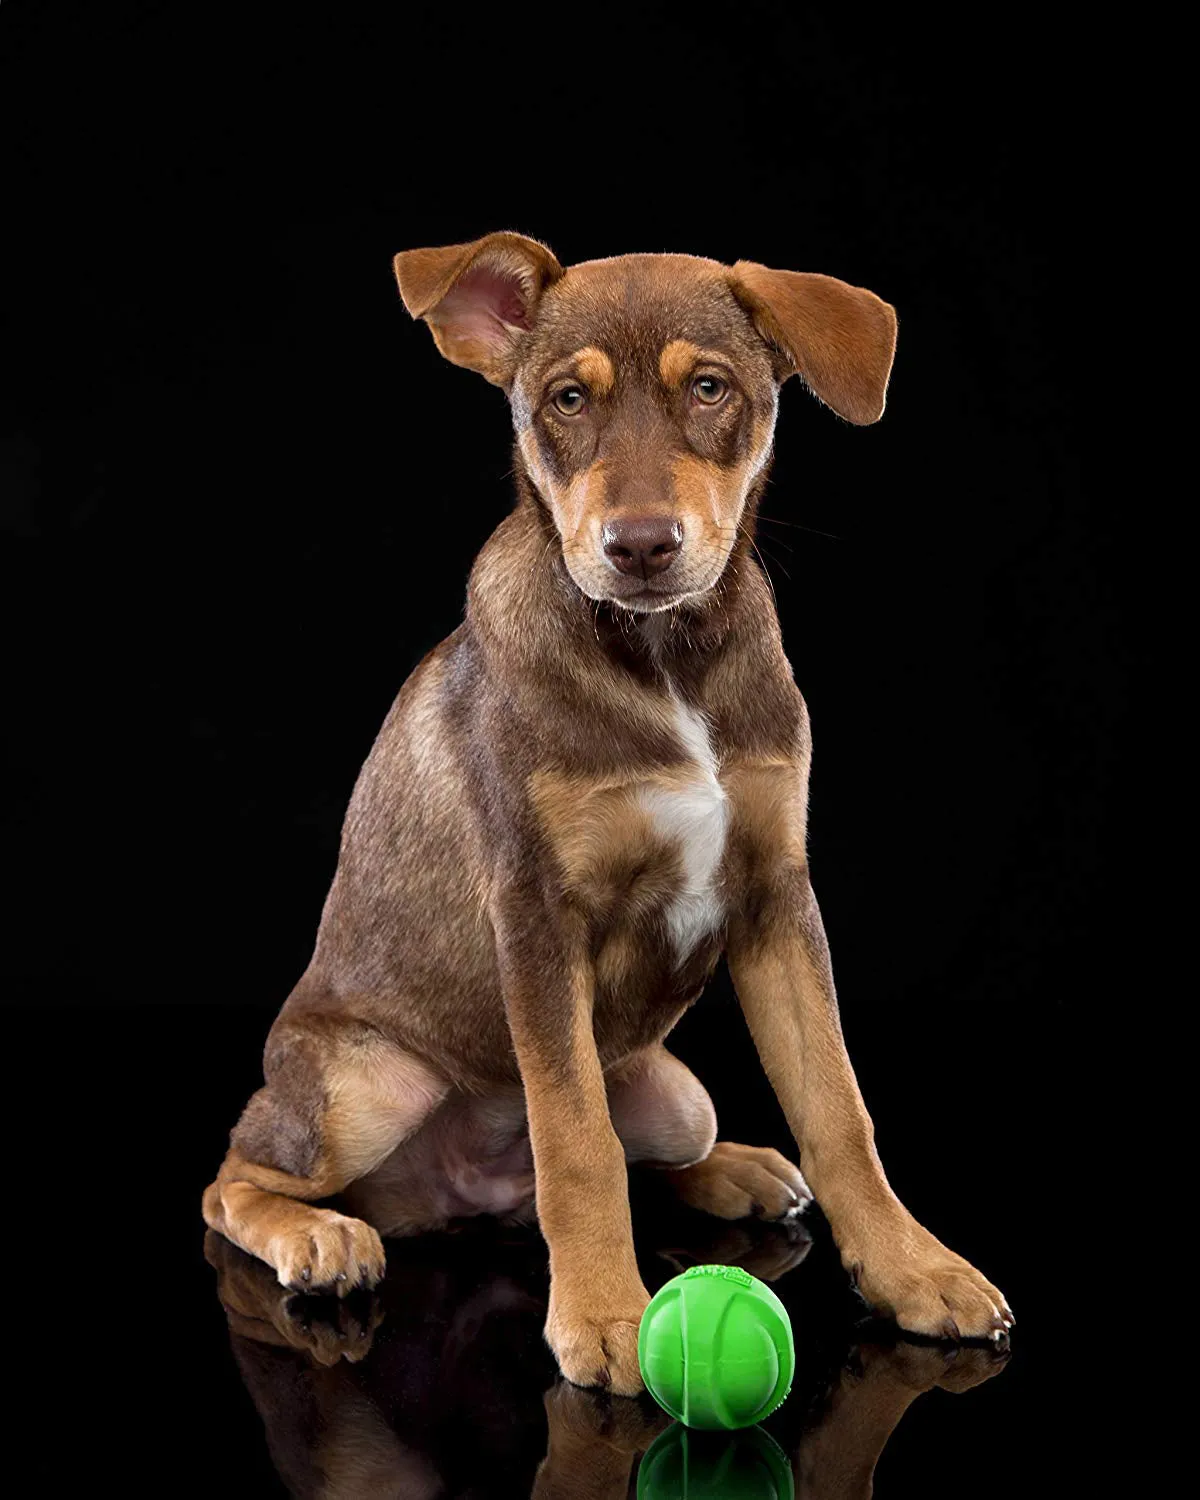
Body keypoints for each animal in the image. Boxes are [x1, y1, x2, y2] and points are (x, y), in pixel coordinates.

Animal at [204, 234, 1014, 1392]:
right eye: (567, 399)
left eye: (711, 389)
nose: (639, 546)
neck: (667, 659)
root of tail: (455, 1197)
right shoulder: (537, 914)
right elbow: (574, 1138)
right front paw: (603, 1314)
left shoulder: (777, 896)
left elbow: (837, 1106)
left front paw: (914, 1270)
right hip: (365, 1087)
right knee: (235, 1174)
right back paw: (318, 1237)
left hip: (675, 1093)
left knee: (647, 1153)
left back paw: (738, 1170)